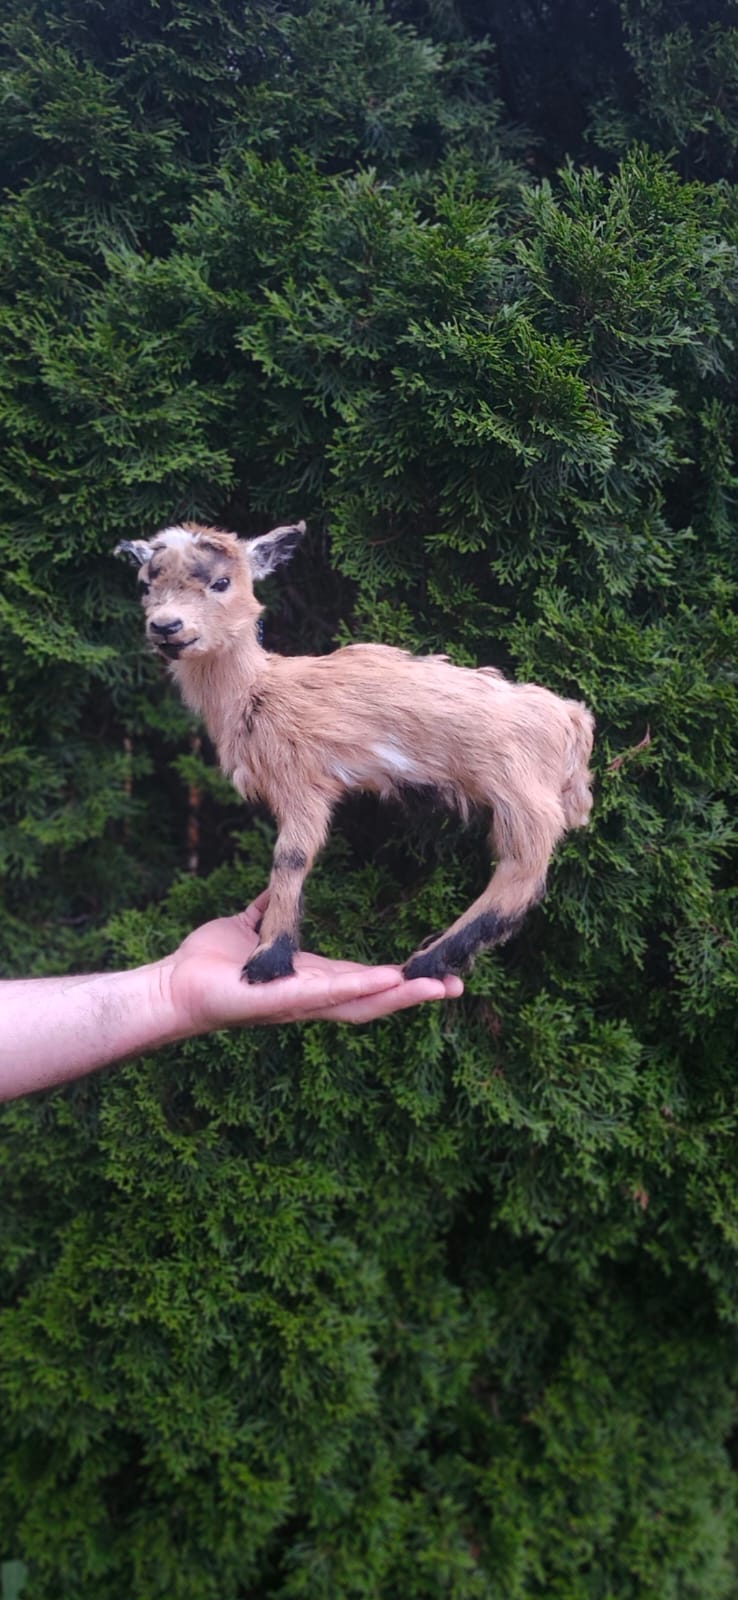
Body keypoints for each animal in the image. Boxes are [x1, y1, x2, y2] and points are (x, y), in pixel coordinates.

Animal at [115, 521, 594, 984]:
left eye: (221, 582)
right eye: (146, 584)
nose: (166, 627)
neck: (258, 691)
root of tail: (572, 721)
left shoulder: (301, 778)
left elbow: (291, 857)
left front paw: (269, 959)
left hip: (522, 794)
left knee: (522, 872)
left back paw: (428, 961)